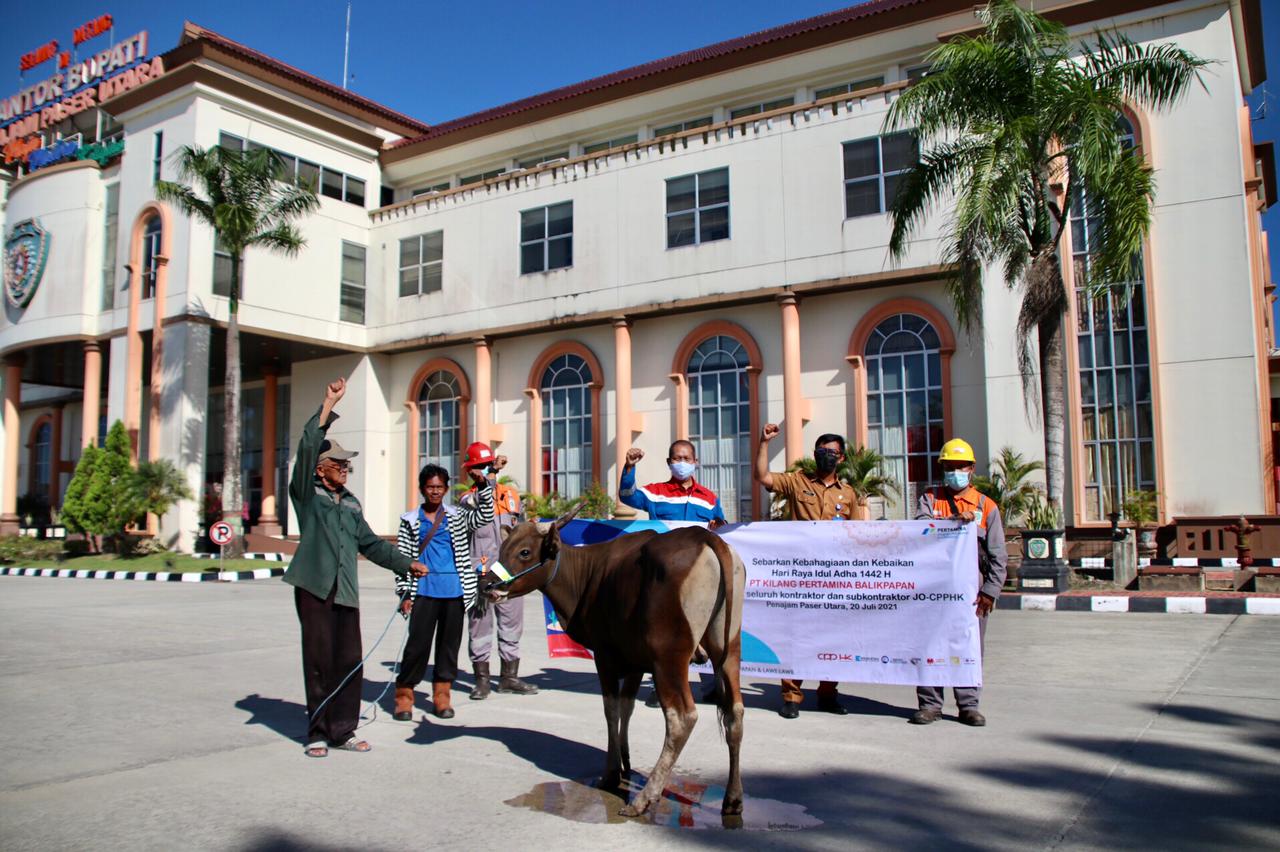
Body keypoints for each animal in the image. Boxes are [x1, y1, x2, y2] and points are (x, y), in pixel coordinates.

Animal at [481, 511, 746, 819]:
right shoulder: (635, 662)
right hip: (728, 650)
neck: (588, 576)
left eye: (524, 552)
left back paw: (645, 797)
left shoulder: (605, 656)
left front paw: (611, 773)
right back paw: (733, 798)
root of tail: (705, 537)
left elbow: (611, 709)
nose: (486, 585)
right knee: (735, 712)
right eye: (502, 549)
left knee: (681, 718)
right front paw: (625, 760)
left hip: (668, 658)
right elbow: (627, 707)